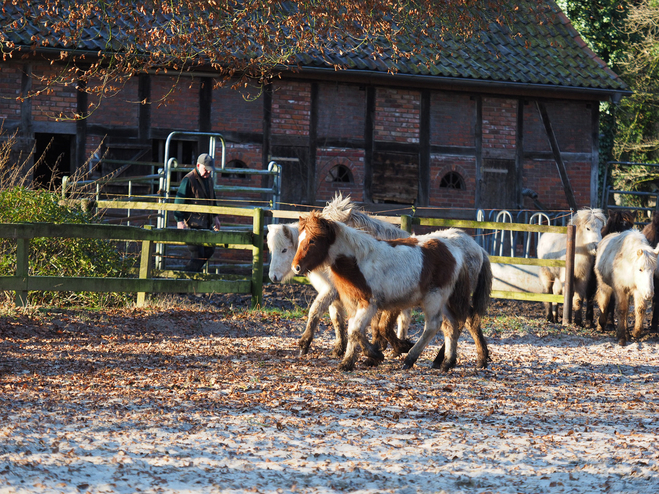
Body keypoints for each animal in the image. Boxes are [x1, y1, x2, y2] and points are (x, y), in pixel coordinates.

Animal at [266, 194, 412, 358]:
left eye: (284, 250)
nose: (273, 277)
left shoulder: (331, 291)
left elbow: (315, 311)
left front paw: (304, 344)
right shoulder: (334, 294)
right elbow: (337, 319)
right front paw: (339, 348)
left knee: (403, 317)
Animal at [292, 211, 492, 370]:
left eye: (313, 240)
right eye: (299, 239)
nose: (296, 267)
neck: (359, 261)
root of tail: (456, 251)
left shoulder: (370, 303)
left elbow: (356, 330)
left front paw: (363, 358)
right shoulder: (354, 304)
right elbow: (355, 330)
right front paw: (360, 358)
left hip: (434, 298)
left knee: (435, 325)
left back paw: (412, 359)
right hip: (445, 300)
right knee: (451, 325)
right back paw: (447, 362)